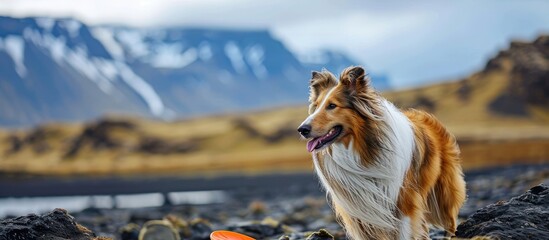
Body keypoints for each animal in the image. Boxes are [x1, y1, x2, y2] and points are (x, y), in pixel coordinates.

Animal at [298, 66, 464, 239]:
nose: (302, 129)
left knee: (450, 222)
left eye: (332, 106)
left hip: (444, 197)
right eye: (316, 106)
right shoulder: (360, 214)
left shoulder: (405, 203)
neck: (359, 151)